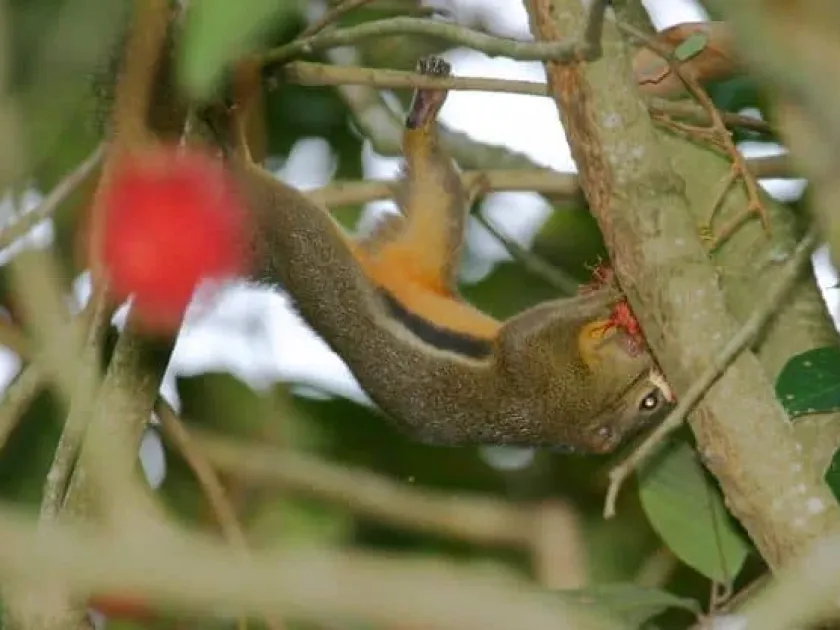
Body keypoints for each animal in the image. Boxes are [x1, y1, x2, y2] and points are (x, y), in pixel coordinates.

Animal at [93, 1, 671, 455]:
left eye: (651, 402)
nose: (645, 352)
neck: (584, 402)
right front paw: (613, 292)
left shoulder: (541, 369)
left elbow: (523, 334)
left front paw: (613, 293)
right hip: (428, 231)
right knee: (432, 180)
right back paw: (423, 112)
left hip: (305, 239)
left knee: (266, 190)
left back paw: (232, 142)